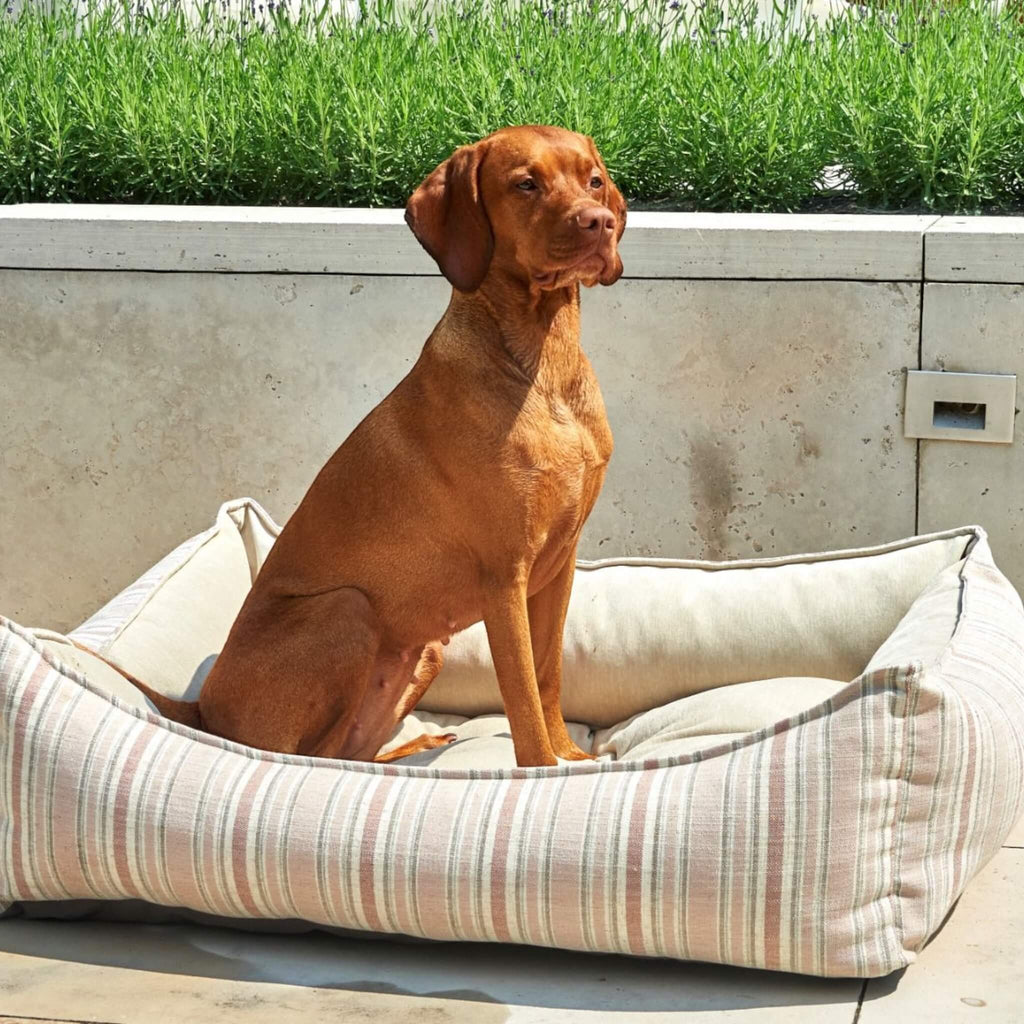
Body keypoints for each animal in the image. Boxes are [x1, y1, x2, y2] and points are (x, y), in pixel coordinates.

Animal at [128, 128, 622, 765]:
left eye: (594, 181)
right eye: (525, 184)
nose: (599, 222)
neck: (544, 366)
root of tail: (200, 708)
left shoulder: (560, 564)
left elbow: (547, 675)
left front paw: (570, 756)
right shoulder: (503, 577)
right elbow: (522, 703)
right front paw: (544, 769)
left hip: (423, 650)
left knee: (350, 755)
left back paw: (415, 748)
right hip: (347, 609)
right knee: (310, 760)